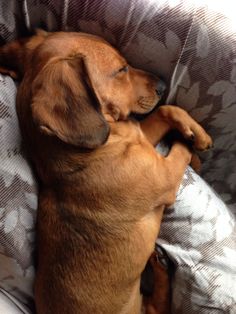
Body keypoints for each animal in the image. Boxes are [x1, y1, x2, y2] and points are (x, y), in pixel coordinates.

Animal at [0, 30, 212, 314]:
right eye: (121, 69)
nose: (163, 85)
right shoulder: (165, 174)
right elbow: (180, 150)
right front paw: (195, 142)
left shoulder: (141, 137)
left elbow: (168, 110)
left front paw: (194, 136)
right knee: (158, 306)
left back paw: (158, 263)